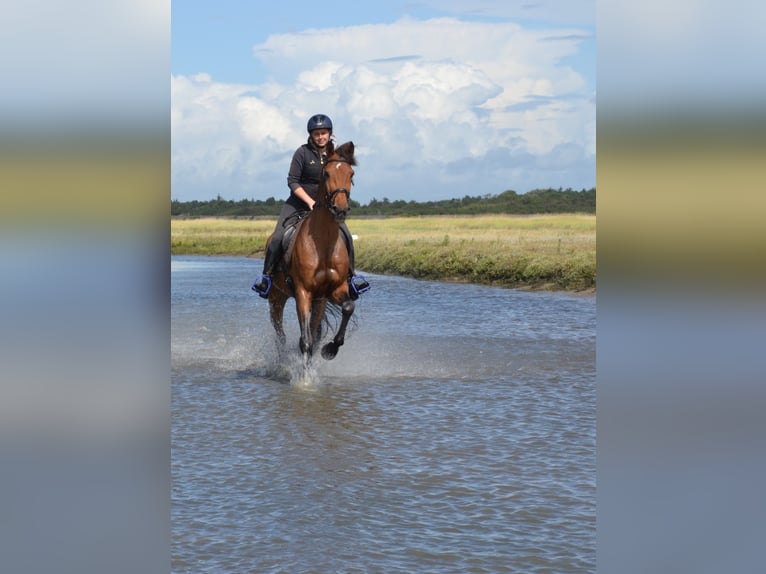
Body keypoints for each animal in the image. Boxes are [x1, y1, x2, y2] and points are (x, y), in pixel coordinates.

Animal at [266, 141, 358, 362]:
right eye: (327, 173)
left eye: (351, 173)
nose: (340, 209)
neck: (323, 244)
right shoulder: (302, 292)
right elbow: (305, 341)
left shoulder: (335, 289)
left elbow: (348, 308)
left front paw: (330, 349)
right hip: (276, 298)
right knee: (280, 333)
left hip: (319, 301)